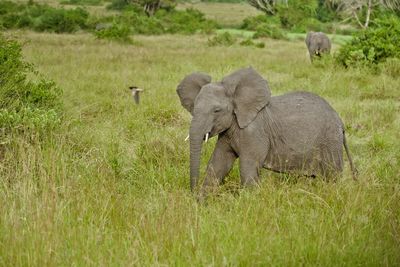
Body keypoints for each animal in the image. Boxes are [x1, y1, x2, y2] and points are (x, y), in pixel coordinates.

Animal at [177, 66, 358, 194]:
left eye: (217, 110)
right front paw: (200, 205)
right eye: (194, 108)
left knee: (332, 178)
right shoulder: (228, 132)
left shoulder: (254, 131)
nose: (192, 192)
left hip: (330, 142)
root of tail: (340, 122)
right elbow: (218, 164)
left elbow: (247, 167)